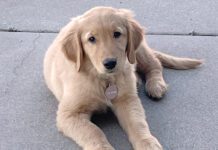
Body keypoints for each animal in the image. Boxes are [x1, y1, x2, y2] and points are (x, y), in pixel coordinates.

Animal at [43, 6, 202, 149]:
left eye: (117, 34)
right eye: (91, 39)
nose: (110, 63)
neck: (103, 79)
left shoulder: (127, 100)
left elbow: (137, 123)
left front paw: (147, 143)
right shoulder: (70, 114)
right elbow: (93, 132)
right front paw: (103, 148)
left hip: (137, 51)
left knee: (155, 64)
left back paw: (156, 85)